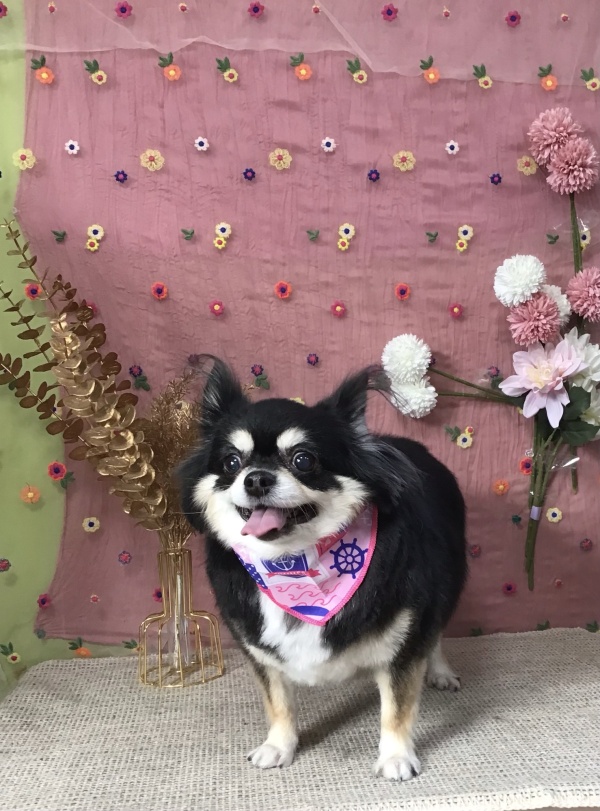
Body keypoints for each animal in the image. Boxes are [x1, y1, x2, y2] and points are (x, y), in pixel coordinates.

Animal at [180, 358, 467, 781]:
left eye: (303, 460)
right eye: (232, 462)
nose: (257, 478)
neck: (296, 564)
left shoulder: (404, 639)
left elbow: (396, 707)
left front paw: (395, 756)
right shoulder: (260, 650)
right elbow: (278, 702)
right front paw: (279, 745)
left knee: (438, 633)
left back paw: (441, 670)